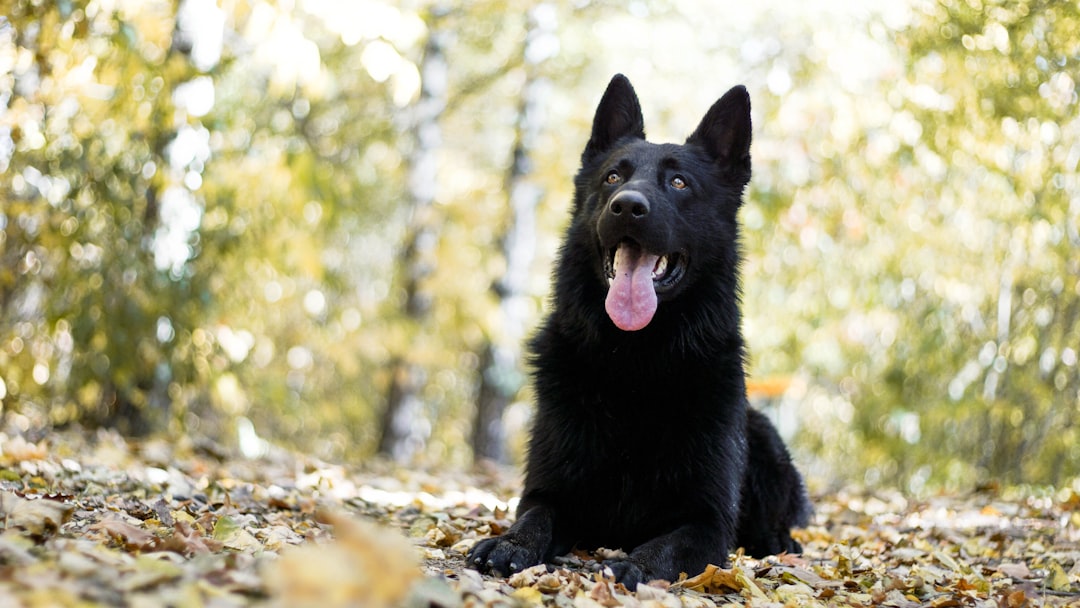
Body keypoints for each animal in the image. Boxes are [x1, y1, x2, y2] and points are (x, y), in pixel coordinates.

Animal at [468, 73, 807, 587]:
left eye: (679, 182)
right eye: (613, 177)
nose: (627, 206)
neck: (636, 360)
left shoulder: (707, 522)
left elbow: (667, 546)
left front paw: (633, 564)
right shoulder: (549, 492)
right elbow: (534, 515)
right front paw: (511, 543)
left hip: (764, 437)